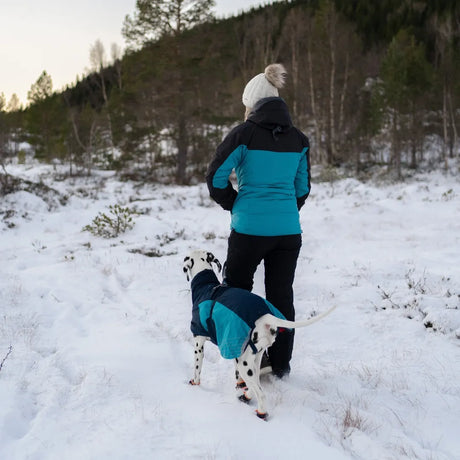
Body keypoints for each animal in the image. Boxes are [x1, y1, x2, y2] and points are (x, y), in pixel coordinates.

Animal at [181, 250, 336, 418]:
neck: (206, 286)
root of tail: (265, 316)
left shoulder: (199, 342)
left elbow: (197, 368)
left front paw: (195, 383)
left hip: (244, 363)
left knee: (261, 393)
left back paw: (261, 412)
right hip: (255, 358)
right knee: (256, 384)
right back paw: (247, 396)